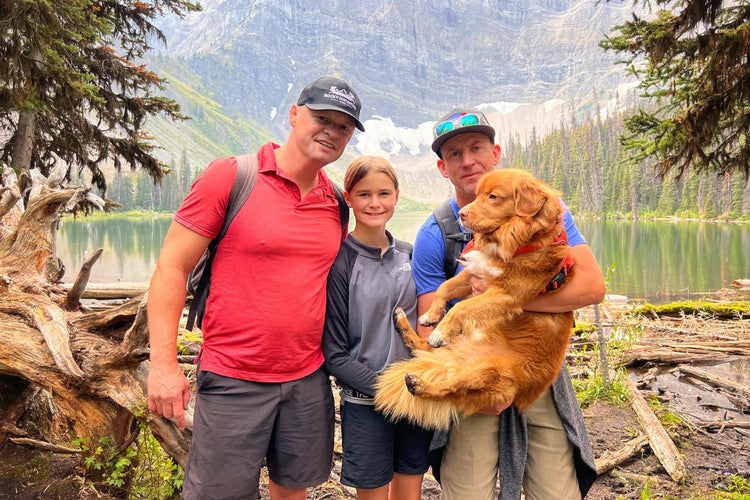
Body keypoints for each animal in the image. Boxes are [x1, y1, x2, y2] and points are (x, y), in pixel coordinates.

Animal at [376, 169, 576, 430]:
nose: (462, 213)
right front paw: (432, 315)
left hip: (489, 371)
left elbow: (462, 307)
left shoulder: (505, 294)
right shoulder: (476, 272)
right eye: (477, 194)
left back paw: (420, 383)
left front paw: (442, 328)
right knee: (423, 347)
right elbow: (444, 288)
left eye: (492, 196)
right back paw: (407, 327)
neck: (515, 240)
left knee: (450, 385)